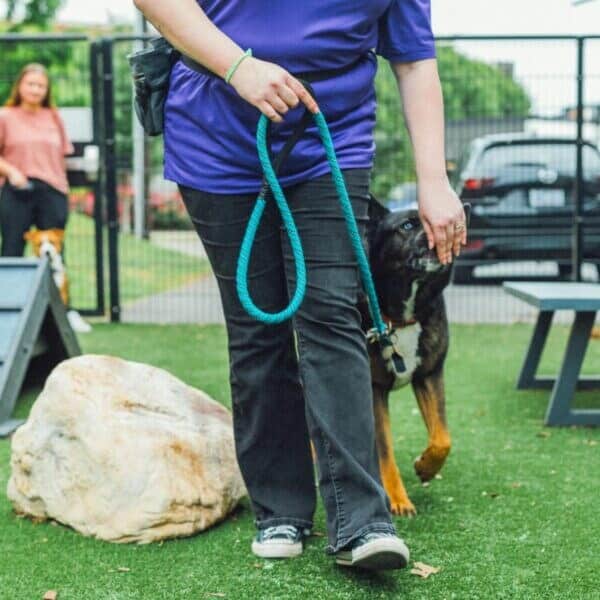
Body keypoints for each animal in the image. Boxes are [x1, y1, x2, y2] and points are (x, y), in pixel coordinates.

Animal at [360, 196, 468, 516]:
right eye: (407, 226)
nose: (437, 236)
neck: (401, 318)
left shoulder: (430, 375)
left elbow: (442, 437)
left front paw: (426, 467)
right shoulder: (373, 389)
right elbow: (384, 451)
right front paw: (397, 499)